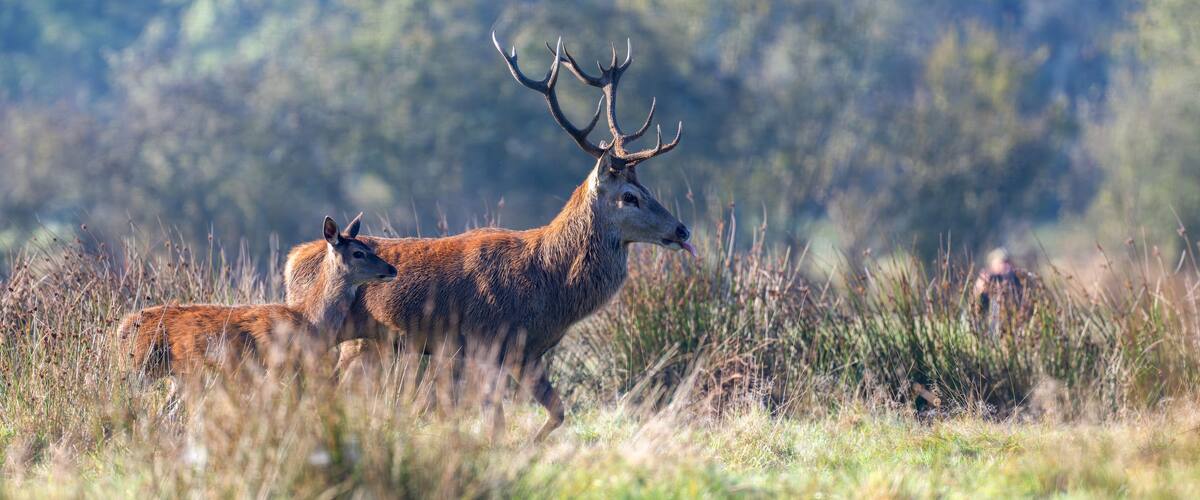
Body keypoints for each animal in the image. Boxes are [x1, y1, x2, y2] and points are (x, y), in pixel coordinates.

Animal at [118, 214, 397, 385]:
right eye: (358, 252)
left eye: (370, 248)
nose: (392, 269)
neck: (311, 323)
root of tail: (122, 327)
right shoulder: (276, 367)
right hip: (139, 368)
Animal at [283, 35, 694, 441]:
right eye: (630, 196)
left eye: (645, 188)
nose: (682, 230)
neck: (550, 284)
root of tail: (291, 260)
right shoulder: (486, 342)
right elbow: (494, 422)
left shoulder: (527, 352)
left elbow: (557, 413)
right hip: (343, 338)